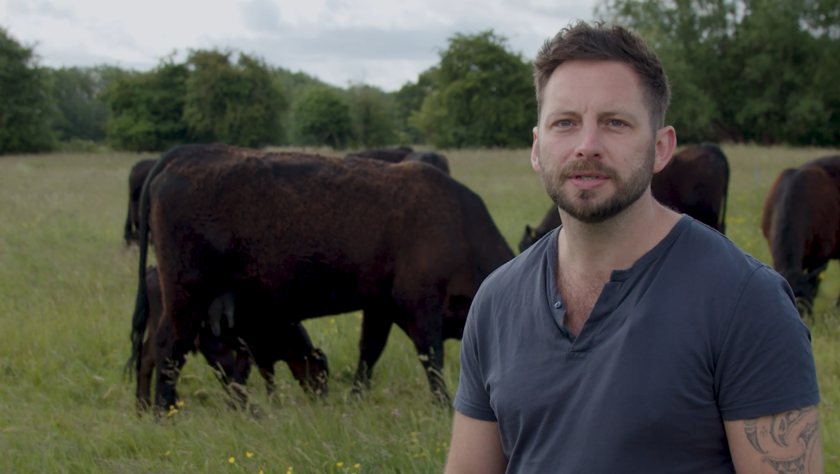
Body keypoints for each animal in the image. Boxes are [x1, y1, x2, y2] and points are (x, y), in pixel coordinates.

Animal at [135, 264, 328, 410]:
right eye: (321, 372)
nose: (323, 398)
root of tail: (151, 271)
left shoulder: (255, 354)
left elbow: (251, 378)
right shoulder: (255, 352)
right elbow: (258, 379)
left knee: (147, 360)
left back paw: (143, 406)